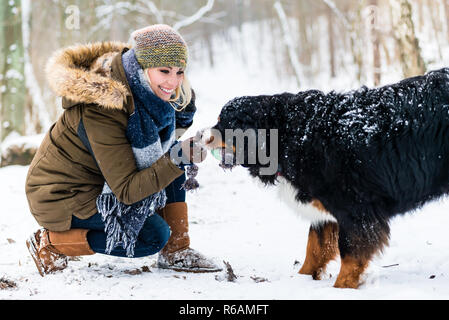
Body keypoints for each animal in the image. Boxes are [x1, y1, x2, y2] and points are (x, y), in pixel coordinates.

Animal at [201, 67, 448, 288]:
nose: (200, 135)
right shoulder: (326, 210)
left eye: (224, 122)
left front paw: (342, 287)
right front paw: (302, 280)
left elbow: (349, 253)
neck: (291, 136)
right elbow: (314, 248)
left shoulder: (354, 210)